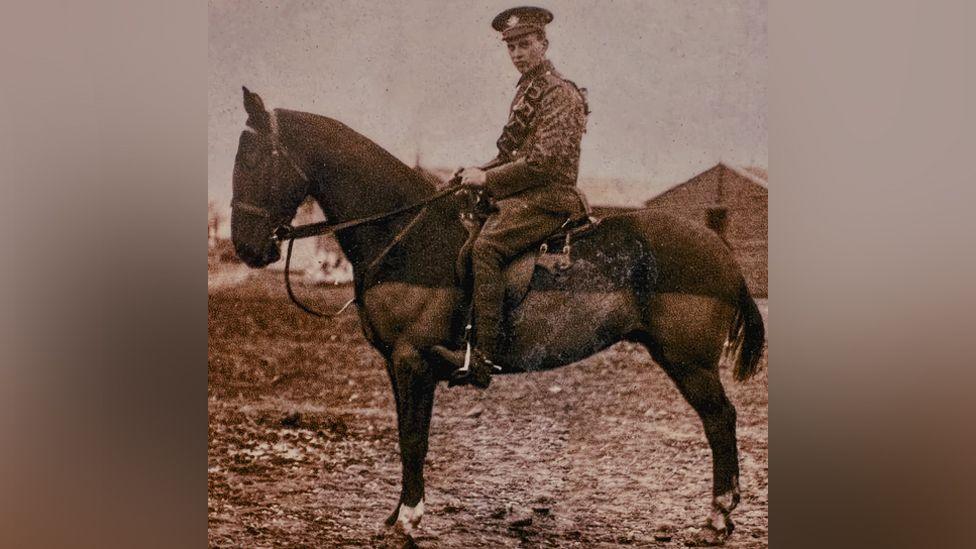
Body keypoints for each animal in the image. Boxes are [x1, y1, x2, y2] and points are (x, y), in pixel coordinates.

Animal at [229, 88, 764, 540]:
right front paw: (397, 514)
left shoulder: (412, 361)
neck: (408, 235)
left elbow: (414, 439)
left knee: (720, 419)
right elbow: (405, 435)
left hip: (689, 362)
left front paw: (410, 519)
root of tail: (720, 249)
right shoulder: (396, 365)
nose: (246, 248)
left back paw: (718, 517)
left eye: (254, 158)